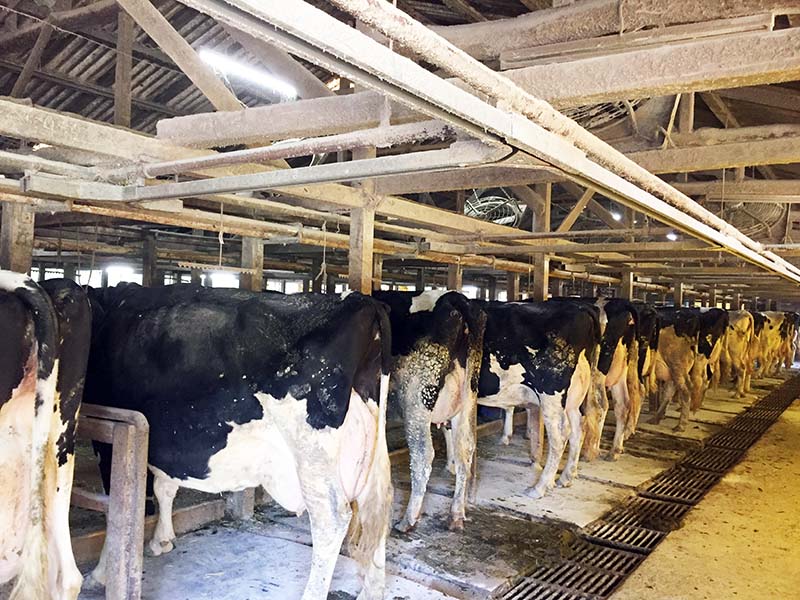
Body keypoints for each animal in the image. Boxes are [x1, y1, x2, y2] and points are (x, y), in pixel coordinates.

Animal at [83, 284, 393, 600]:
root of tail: (363, 301)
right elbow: (164, 487)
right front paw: (162, 540)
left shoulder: (111, 434)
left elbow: (115, 510)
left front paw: (100, 573)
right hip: (370, 447)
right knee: (378, 504)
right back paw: (372, 591)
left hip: (312, 453)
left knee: (332, 518)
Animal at [373, 290, 485, 533]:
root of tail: (455, 298)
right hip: (467, 398)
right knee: (465, 449)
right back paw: (456, 514)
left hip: (417, 399)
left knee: (423, 455)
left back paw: (407, 520)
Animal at [476, 301, 600, 499]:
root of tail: (581, 308)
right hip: (574, 398)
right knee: (579, 429)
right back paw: (566, 477)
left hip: (551, 395)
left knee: (559, 437)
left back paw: (540, 487)